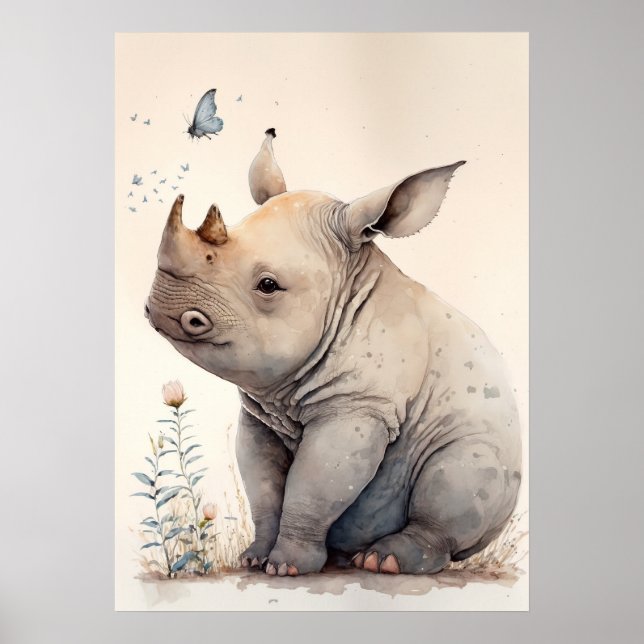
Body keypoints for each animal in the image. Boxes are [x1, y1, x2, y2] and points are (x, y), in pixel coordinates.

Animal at [145, 129, 521, 576]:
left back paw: (382, 561)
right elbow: (265, 487)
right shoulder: (261, 414)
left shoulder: (358, 405)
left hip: (483, 444)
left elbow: (313, 486)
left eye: (268, 285)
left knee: (456, 477)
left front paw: (287, 568)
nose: (162, 309)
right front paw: (254, 559)